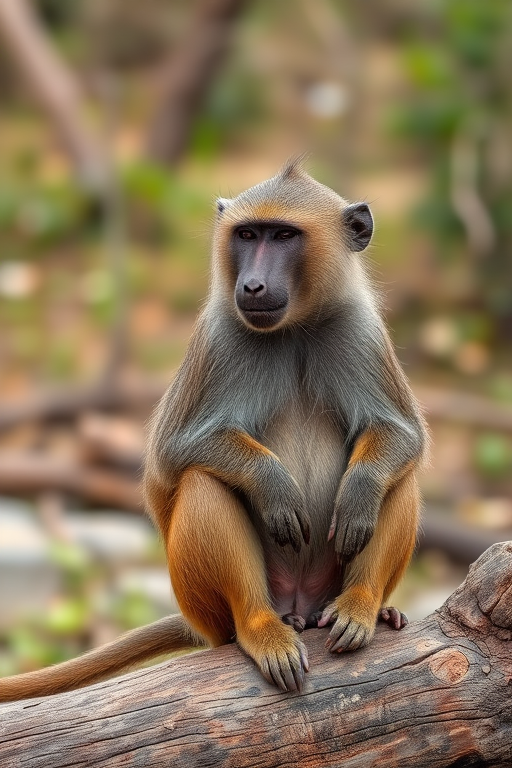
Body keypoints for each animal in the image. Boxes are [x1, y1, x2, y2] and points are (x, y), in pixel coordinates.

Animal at [0, 159, 427, 702]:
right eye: (247, 234)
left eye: (283, 235)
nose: (252, 286)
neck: (294, 328)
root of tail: (301, 607)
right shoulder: (220, 336)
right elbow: (174, 452)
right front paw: (272, 485)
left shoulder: (359, 330)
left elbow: (400, 436)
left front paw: (359, 495)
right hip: (207, 604)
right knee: (204, 483)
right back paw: (260, 627)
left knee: (397, 478)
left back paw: (363, 604)